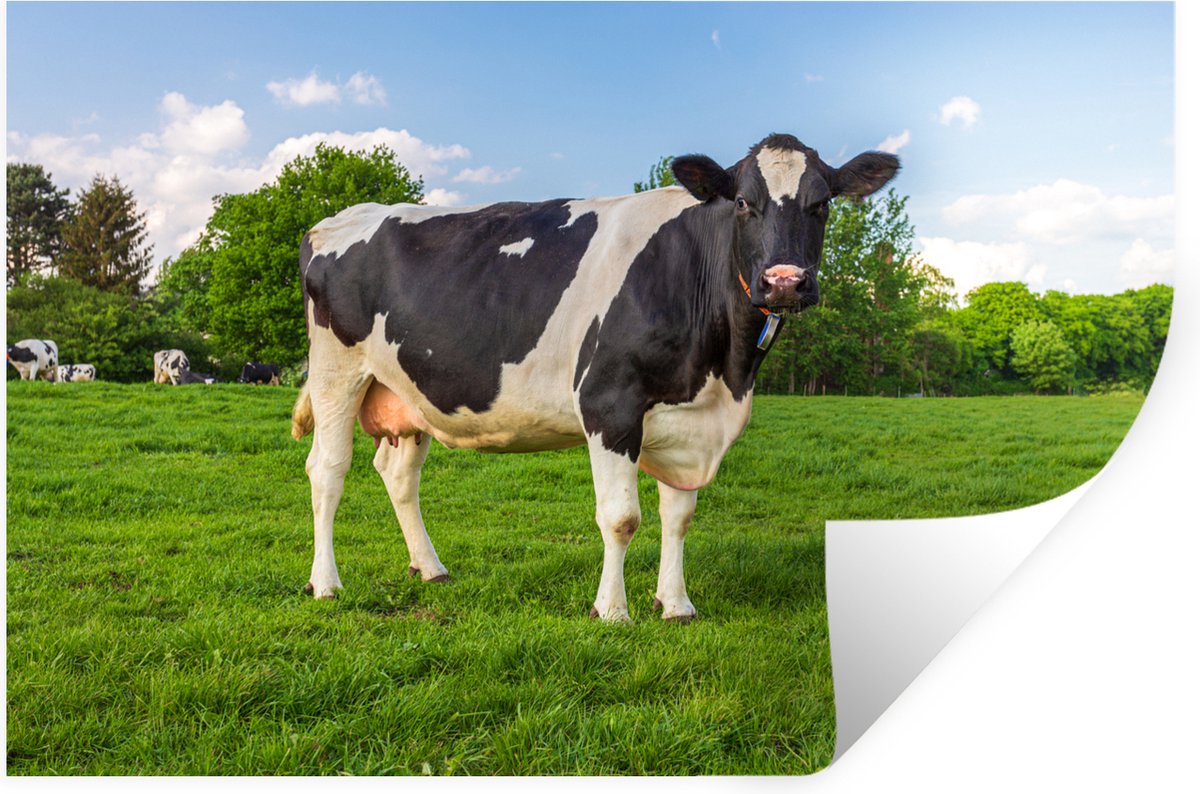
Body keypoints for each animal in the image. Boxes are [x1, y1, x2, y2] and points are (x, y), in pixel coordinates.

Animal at [291, 133, 899, 621]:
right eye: (745, 202)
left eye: (822, 204)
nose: (784, 282)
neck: (724, 372)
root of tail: (333, 220)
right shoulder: (610, 404)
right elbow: (622, 518)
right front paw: (611, 611)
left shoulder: (687, 419)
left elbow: (679, 516)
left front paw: (675, 605)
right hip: (337, 372)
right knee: (327, 470)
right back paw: (326, 583)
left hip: (410, 389)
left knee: (398, 474)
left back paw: (431, 567)